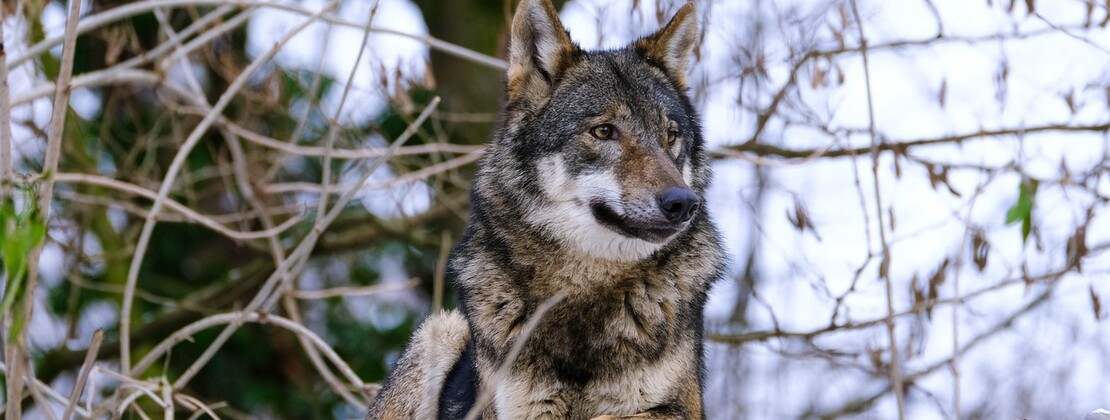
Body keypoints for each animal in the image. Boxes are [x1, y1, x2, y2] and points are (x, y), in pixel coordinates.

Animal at [366, 0, 725, 418]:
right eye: (604, 131)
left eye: (671, 136)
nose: (682, 203)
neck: (586, 288)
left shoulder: (676, 407)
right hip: (439, 331)